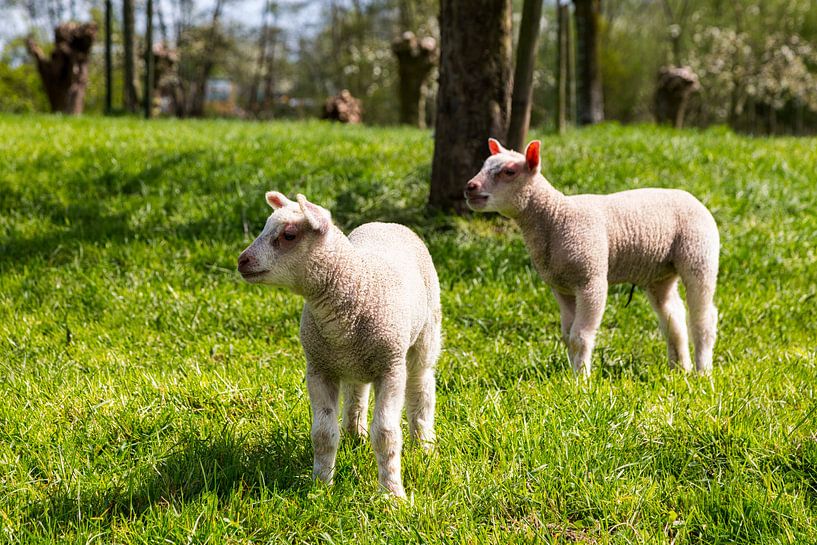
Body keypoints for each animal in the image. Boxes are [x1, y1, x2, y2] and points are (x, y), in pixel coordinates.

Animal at [237, 192, 441, 497]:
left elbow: (386, 433)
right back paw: (354, 435)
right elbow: (322, 433)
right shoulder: (319, 367)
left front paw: (392, 494)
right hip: (353, 361)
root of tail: (386, 222)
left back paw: (424, 445)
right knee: (356, 391)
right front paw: (320, 487)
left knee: (421, 388)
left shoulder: (391, 367)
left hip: (425, 334)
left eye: (289, 235)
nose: (242, 261)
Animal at [464, 138, 719, 377]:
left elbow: (580, 336)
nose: (470, 187)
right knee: (673, 315)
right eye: (484, 165)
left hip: (699, 254)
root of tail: (692, 197)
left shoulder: (590, 279)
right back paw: (680, 368)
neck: (556, 217)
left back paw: (703, 371)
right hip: (659, 273)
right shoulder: (561, 287)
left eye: (509, 172)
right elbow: (567, 336)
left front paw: (582, 380)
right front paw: (571, 375)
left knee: (703, 318)